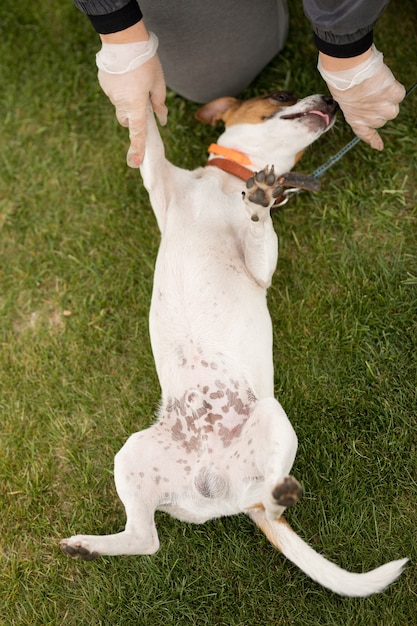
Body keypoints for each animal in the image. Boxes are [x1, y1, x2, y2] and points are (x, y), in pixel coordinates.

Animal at [61, 90, 406, 592]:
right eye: (280, 95)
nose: (330, 99)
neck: (229, 183)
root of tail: (225, 493)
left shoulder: (261, 267)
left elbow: (259, 225)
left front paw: (260, 200)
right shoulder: (160, 183)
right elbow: (150, 137)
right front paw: (137, 89)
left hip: (272, 418)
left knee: (272, 497)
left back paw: (281, 491)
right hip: (132, 455)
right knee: (145, 539)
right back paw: (87, 546)